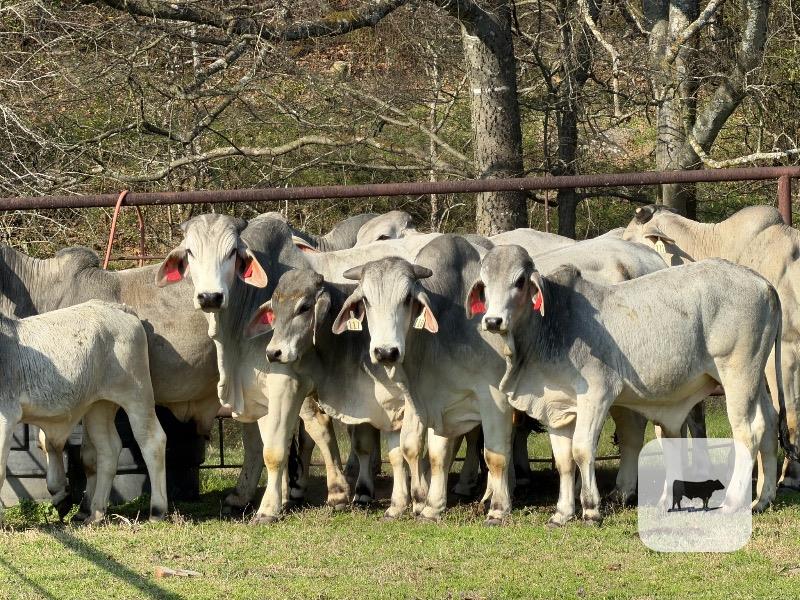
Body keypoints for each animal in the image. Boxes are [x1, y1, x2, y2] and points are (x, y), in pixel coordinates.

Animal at [0, 300, 167, 523]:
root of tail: (121, 308)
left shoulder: (5, 419)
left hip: (137, 395)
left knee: (152, 442)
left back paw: (157, 511)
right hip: (100, 406)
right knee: (108, 450)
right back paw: (95, 512)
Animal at [472, 244, 794, 525]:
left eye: (520, 281)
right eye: (484, 284)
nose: (493, 321)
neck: (552, 325)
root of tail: (764, 283)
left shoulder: (597, 395)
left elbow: (582, 450)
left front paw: (591, 510)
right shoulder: (556, 407)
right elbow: (564, 460)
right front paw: (562, 514)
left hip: (738, 373)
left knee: (749, 432)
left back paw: (732, 502)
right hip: (756, 378)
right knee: (769, 424)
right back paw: (762, 499)